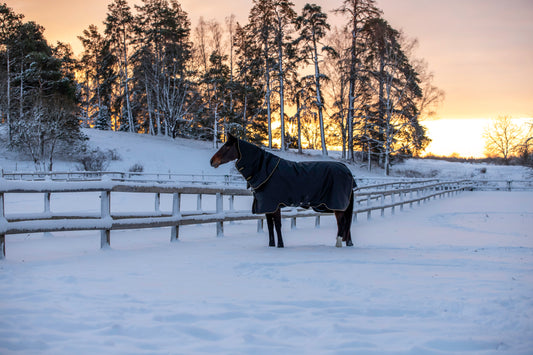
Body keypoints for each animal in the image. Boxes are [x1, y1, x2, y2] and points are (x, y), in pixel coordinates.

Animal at [210, 135, 356, 249]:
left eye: (227, 147)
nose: (212, 161)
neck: (265, 170)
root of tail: (346, 170)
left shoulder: (274, 206)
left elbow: (277, 225)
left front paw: (280, 245)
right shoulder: (267, 207)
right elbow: (270, 226)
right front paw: (271, 245)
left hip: (337, 206)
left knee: (342, 223)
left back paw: (338, 244)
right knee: (346, 223)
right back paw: (348, 243)